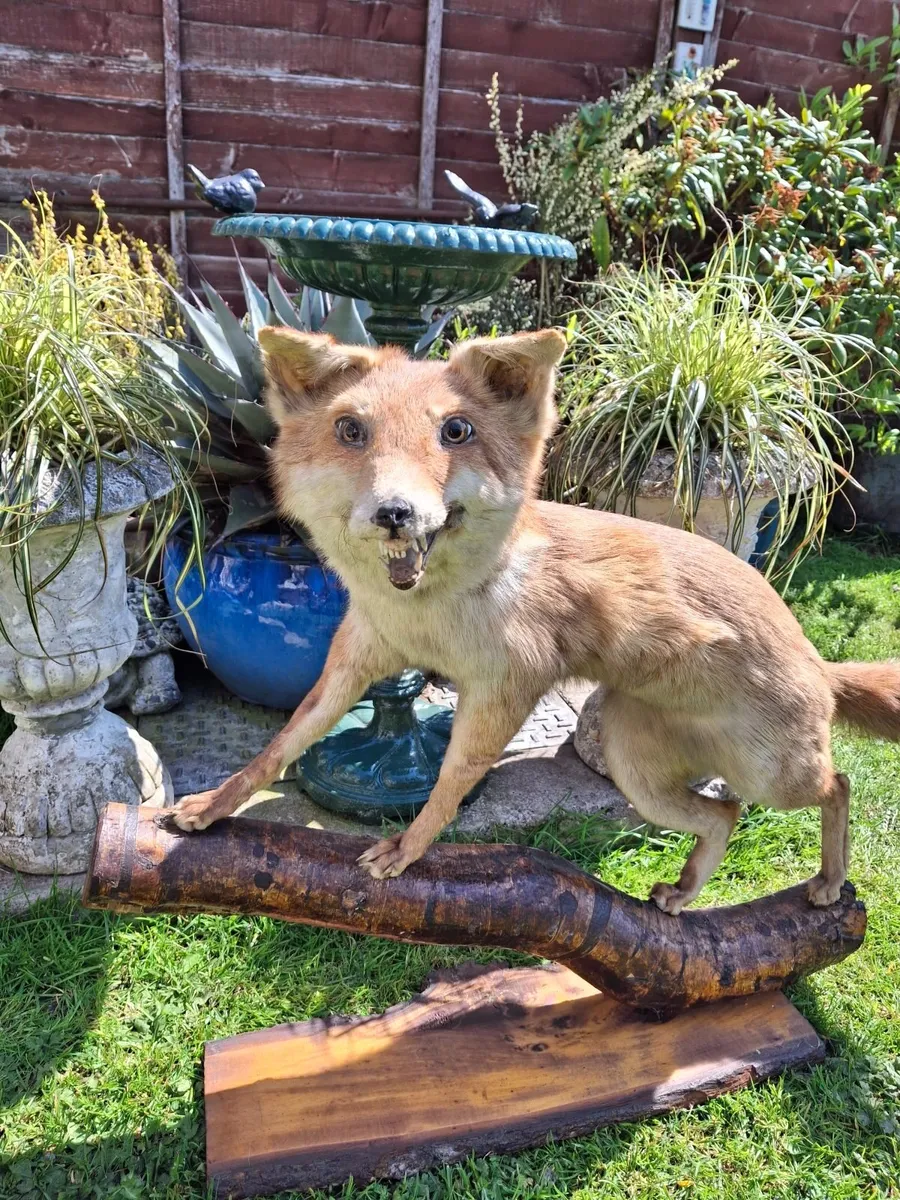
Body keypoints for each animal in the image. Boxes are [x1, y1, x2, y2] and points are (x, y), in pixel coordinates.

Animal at [171, 325, 900, 913]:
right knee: (724, 815)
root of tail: (818, 663)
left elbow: (448, 785)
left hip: (771, 773)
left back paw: (829, 881)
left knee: (837, 784)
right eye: (351, 430)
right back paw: (685, 891)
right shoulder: (356, 661)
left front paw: (407, 848)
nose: (395, 512)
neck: (431, 613)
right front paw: (212, 806)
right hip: (640, 773)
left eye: (455, 431)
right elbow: (279, 747)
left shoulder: (504, 688)